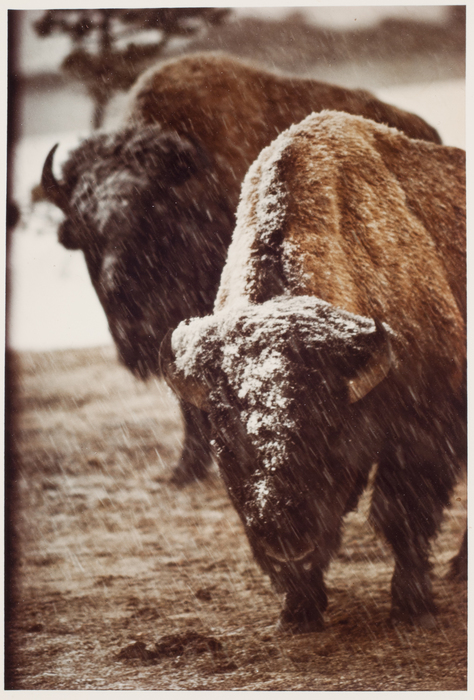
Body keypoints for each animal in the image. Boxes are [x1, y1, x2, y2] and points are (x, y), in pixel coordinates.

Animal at [160, 111, 466, 633]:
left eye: (327, 422)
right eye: (221, 423)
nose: (282, 530)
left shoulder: (422, 433)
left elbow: (401, 517)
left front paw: (412, 606)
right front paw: (299, 611)